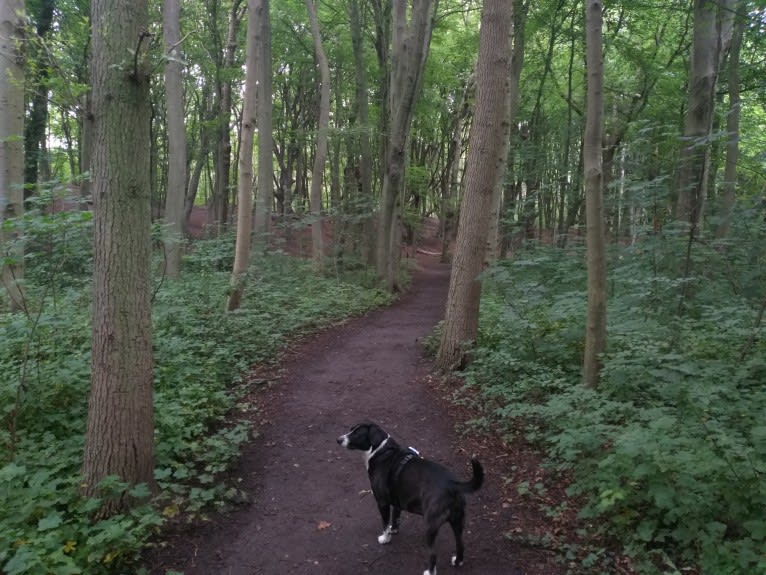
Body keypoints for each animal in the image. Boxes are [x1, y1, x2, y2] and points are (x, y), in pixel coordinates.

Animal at [338, 424, 486, 575]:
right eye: (351, 429)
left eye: (357, 434)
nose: (339, 439)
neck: (382, 451)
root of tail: (453, 484)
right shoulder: (397, 502)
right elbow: (395, 518)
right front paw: (393, 531)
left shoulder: (382, 503)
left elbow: (385, 524)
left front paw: (385, 538)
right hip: (458, 523)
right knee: (460, 544)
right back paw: (457, 561)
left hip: (431, 527)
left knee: (433, 554)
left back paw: (430, 572)